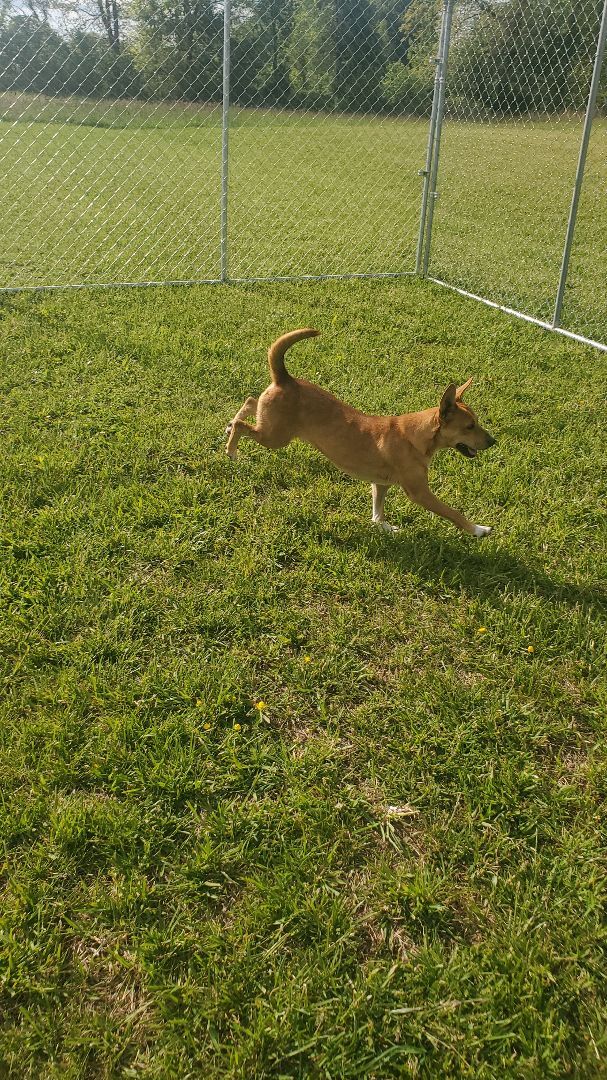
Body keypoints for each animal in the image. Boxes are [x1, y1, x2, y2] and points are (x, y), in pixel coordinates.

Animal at [224, 326, 494, 533]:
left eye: (477, 422)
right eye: (469, 426)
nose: (493, 441)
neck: (416, 436)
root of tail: (284, 378)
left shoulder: (381, 484)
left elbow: (378, 510)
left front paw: (383, 527)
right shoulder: (419, 492)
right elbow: (454, 512)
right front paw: (478, 529)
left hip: (270, 425)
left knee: (250, 401)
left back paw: (229, 427)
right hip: (274, 437)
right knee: (243, 425)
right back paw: (232, 451)